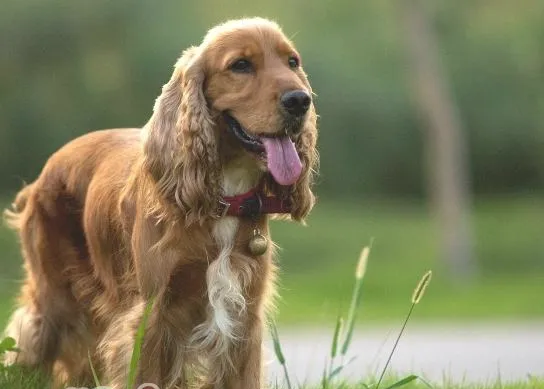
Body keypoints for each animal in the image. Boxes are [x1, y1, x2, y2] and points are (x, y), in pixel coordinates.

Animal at [2, 16, 318, 386]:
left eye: (292, 62)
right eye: (240, 65)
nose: (300, 101)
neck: (224, 198)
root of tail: (44, 173)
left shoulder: (244, 318)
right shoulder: (151, 315)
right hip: (53, 300)